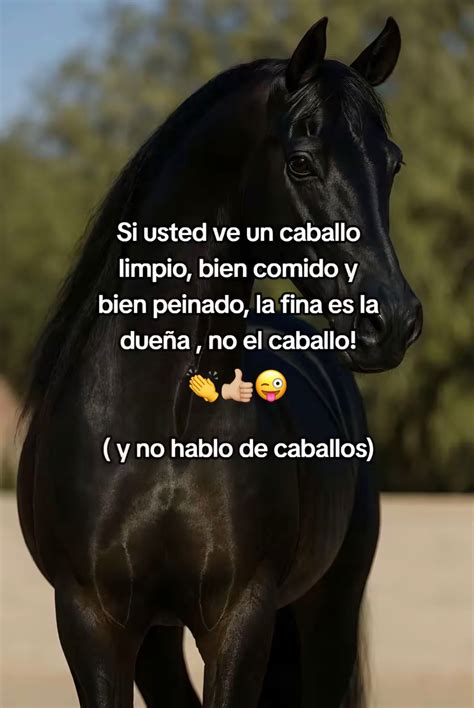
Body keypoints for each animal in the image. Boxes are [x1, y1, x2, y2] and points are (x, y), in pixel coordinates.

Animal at [18, 16, 422, 708]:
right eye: (301, 162)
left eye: (391, 163)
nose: (391, 322)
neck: (166, 425)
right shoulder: (91, 620)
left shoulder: (241, 617)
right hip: (158, 638)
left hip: (329, 610)